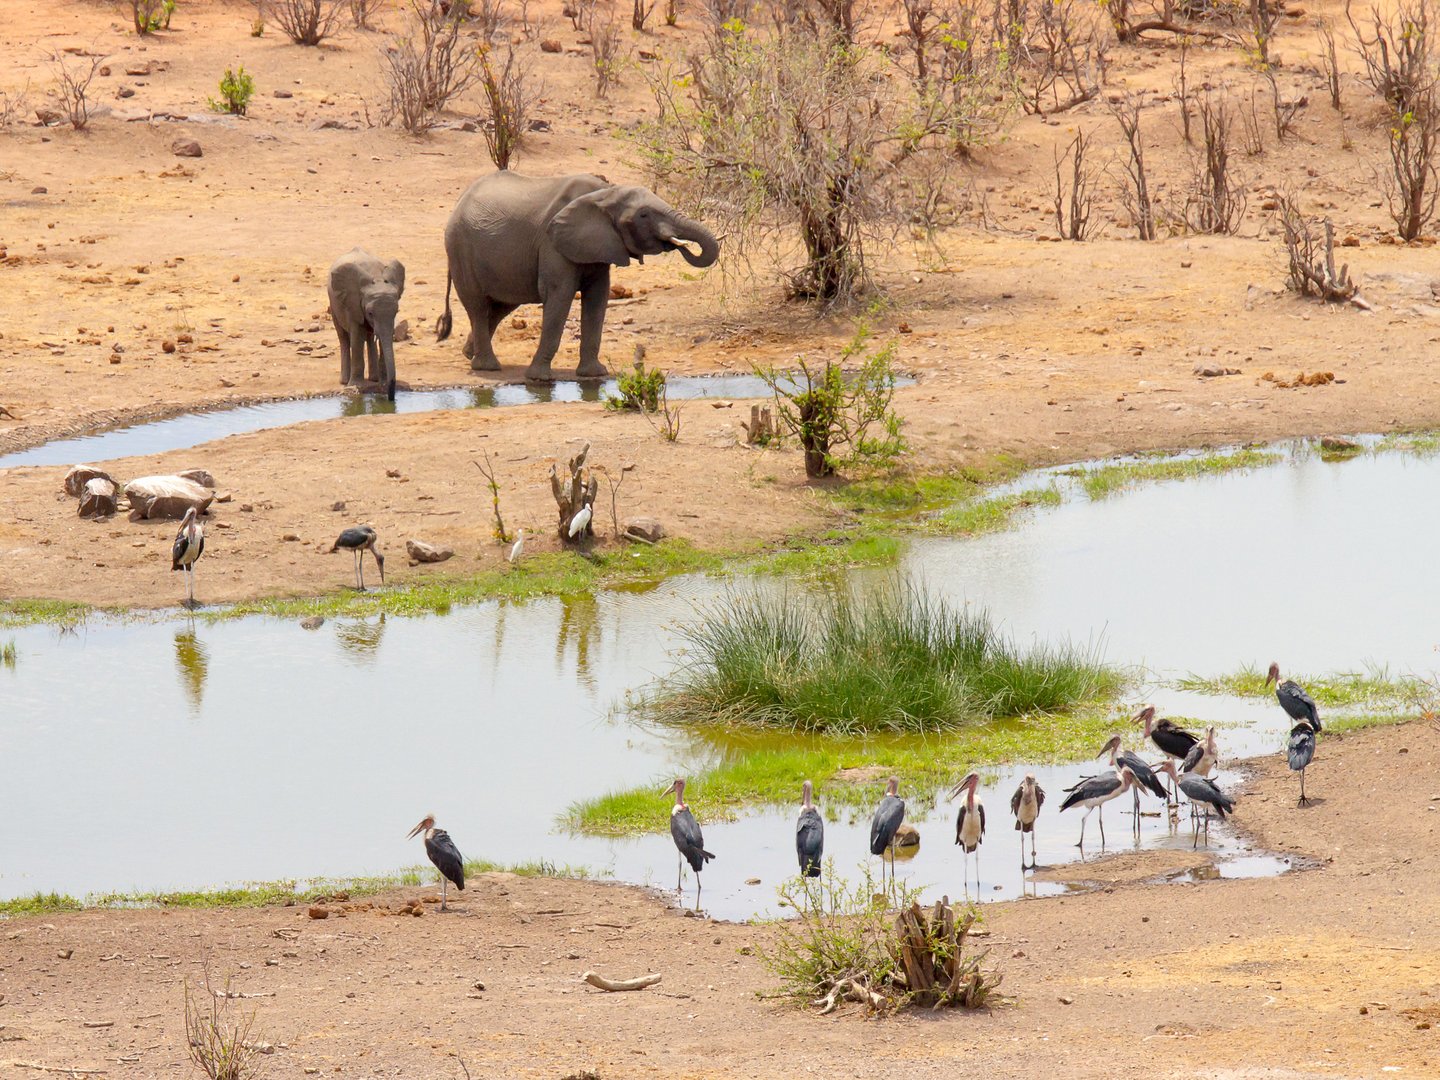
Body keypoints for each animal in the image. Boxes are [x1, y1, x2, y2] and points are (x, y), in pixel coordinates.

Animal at [432, 171, 714, 383]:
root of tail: (459, 201)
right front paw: (539, 379)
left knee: (501, 307)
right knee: (478, 306)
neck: (605, 194)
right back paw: (487, 367)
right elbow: (560, 294)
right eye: (644, 215)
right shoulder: (552, 243)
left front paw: (594, 375)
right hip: (460, 248)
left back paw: (469, 354)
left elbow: (598, 297)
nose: (679, 244)